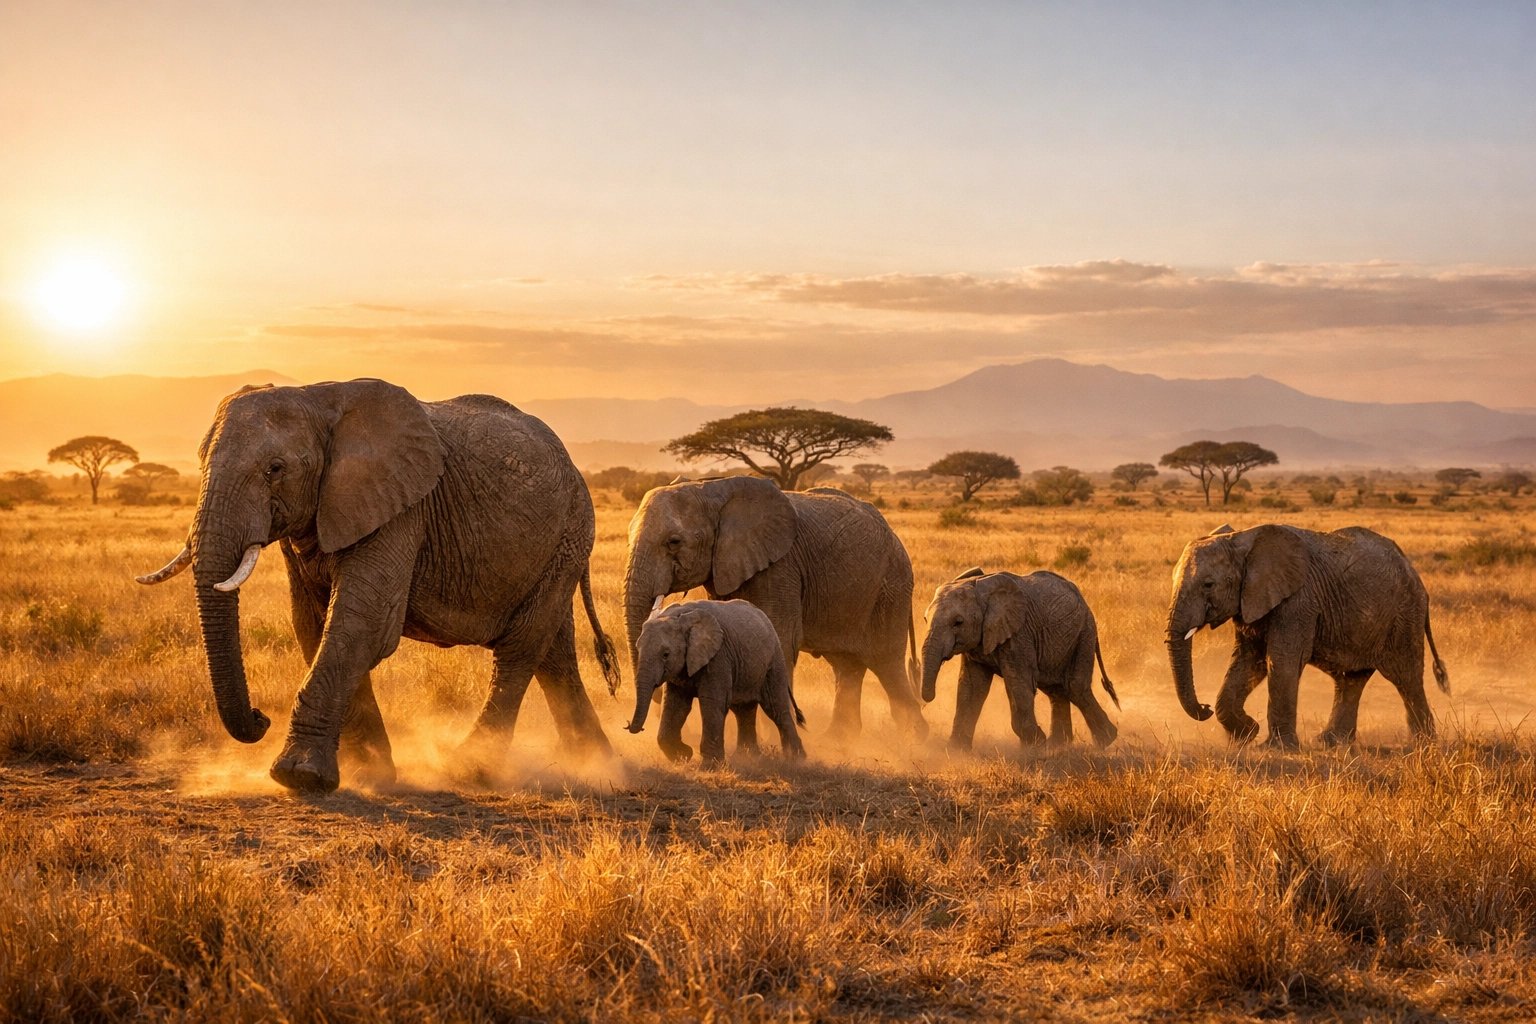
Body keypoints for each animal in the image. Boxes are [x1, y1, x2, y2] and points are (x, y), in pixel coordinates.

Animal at [136, 379, 620, 792]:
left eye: (275, 469)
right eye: (200, 463)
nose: (259, 718)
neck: (317, 398)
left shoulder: (403, 510)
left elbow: (362, 624)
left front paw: (299, 776)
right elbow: (314, 624)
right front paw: (369, 773)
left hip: (571, 531)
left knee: (521, 649)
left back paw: (473, 769)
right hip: (559, 543)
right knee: (553, 654)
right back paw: (599, 764)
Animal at [622, 476, 927, 743]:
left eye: (673, 542)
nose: (635, 726)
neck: (711, 489)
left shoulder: (781, 567)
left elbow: (779, 638)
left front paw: (769, 742)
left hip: (889, 588)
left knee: (886, 662)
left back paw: (916, 740)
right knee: (847, 666)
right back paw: (839, 741)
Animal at [627, 599, 806, 765]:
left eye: (665, 654)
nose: (628, 725)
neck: (679, 617)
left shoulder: (718, 657)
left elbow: (712, 703)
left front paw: (708, 766)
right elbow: (675, 705)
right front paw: (684, 756)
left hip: (774, 661)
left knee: (776, 708)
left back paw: (796, 760)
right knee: (743, 710)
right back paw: (748, 758)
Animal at [921, 568, 1120, 750]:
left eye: (958, 623)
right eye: (924, 619)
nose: (928, 699)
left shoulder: (1019, 634)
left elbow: (1019, 683)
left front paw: (1035, 745)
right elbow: (971, 687)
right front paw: (956, 750)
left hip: (1084, 633)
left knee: (1075, 687)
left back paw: (1105, 741)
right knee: (1056, 690)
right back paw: (1059, 746)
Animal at [1165, 523, 1450, 748]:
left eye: (1208, 585)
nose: (1204, 708)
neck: (1242, 539)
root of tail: (1416, 575)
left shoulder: (1298, 601)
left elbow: (1281, 661)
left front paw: (1275, 748)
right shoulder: (1252, 602)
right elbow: (1247, 661)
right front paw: (1247, 735)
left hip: (1404, 615)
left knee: (1406, 677)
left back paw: (1424, 745)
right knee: (1351, 679)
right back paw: (1331, 742)